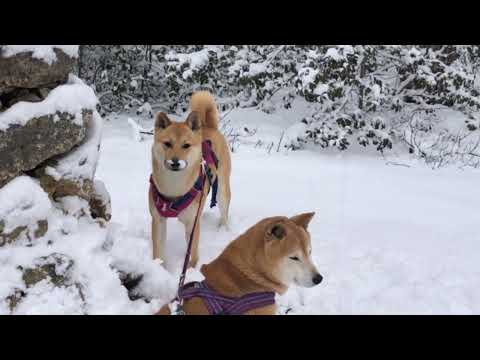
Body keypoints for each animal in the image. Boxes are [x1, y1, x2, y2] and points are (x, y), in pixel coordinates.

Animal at [150, 91, 232, 268]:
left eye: (186, 145)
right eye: (167, 143)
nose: (175, 162)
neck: (174, 188)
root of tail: (209, 126)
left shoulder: (192, 224)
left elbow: (192, 255)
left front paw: (190, 270)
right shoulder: (158, 220)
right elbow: (158, 252)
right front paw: (158, 269)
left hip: (223, 190)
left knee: (224, 212)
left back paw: (223, 229)